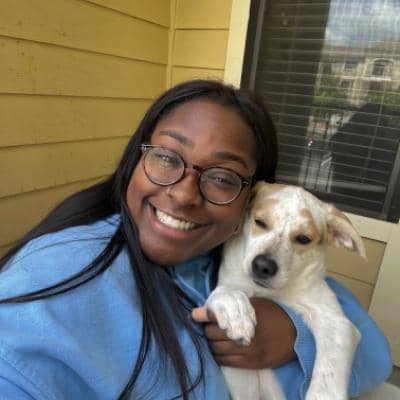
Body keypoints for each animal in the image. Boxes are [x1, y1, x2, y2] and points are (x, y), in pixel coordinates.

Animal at [205, 182, 367, 400]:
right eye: (260, 222)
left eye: (303, 239)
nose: (263, 266)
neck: (273, 292)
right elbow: (226, 291)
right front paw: (235, 310)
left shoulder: (336, 322)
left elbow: (328, 374)